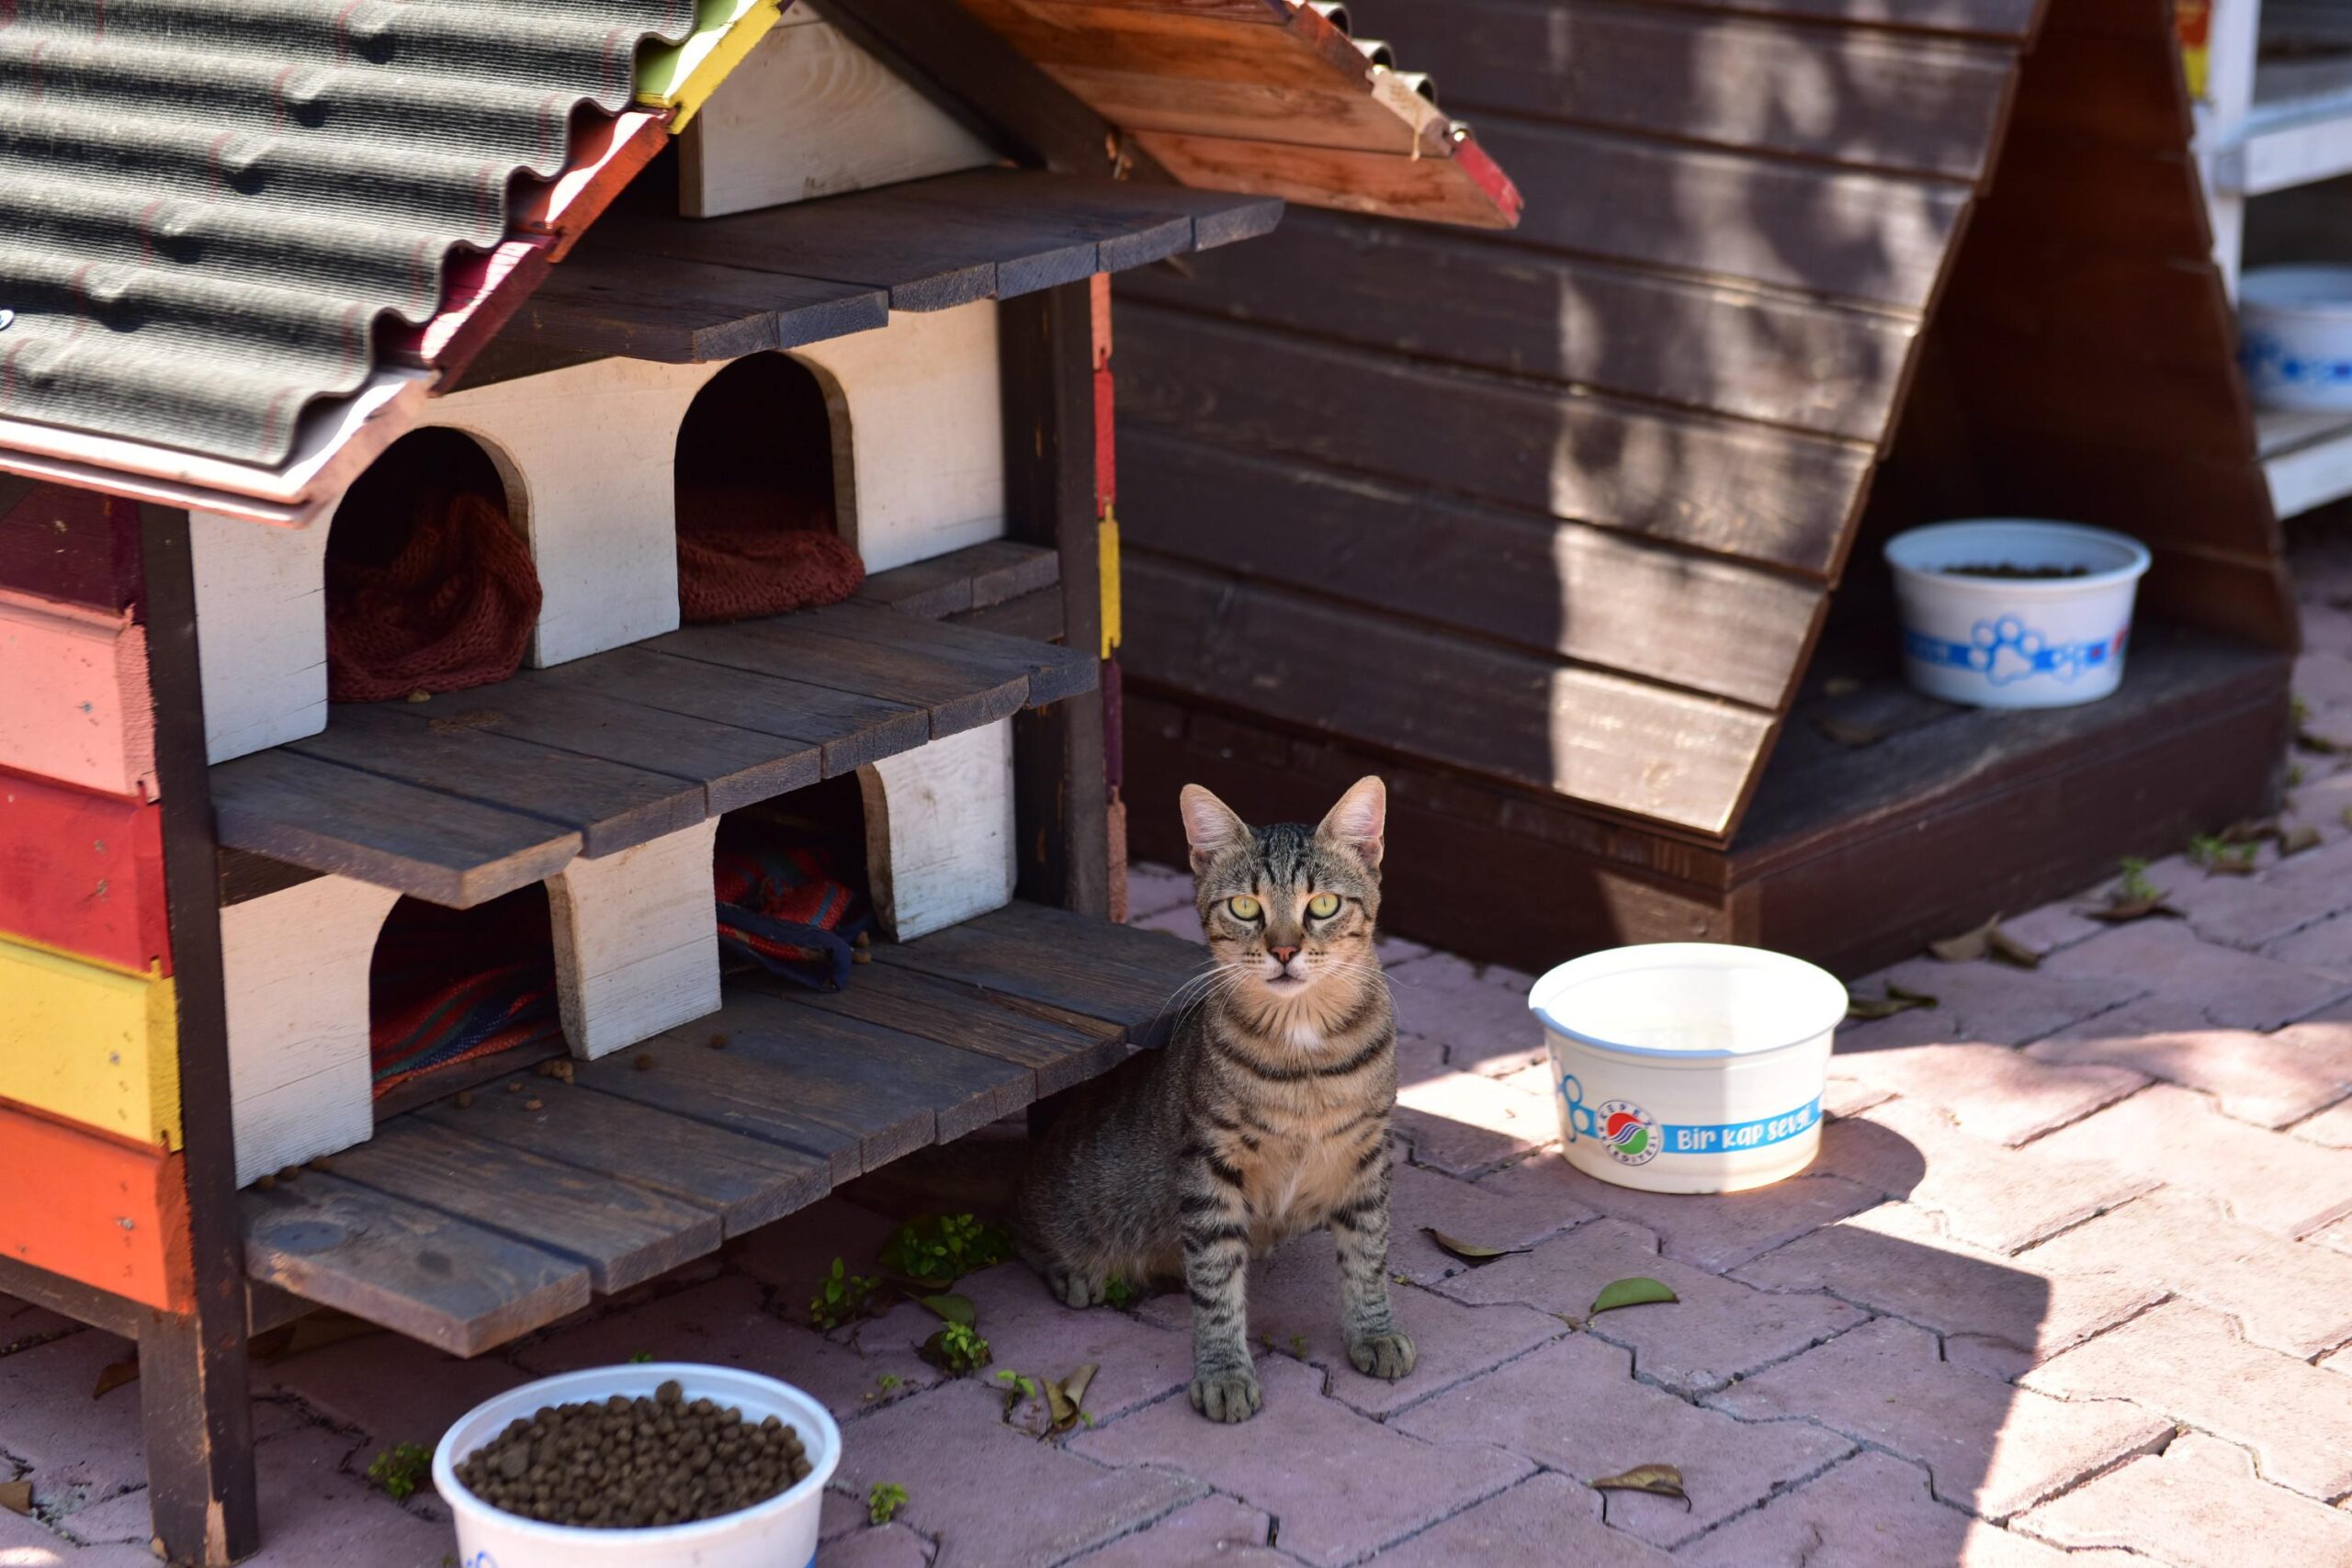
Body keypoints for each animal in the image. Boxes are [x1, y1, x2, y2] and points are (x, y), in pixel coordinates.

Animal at [1015, 780, 1411, 1429]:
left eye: (1324, 905)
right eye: (1246, 908)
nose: (1284, 950)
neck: (1303, 1056)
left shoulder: (1368, 1152)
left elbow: (1368, 1250)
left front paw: (1373, 1331)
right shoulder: (1208, 1167)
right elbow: (1217, 1281)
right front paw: (1224, 1373)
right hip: (1072, 1204)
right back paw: (1074, 1273)